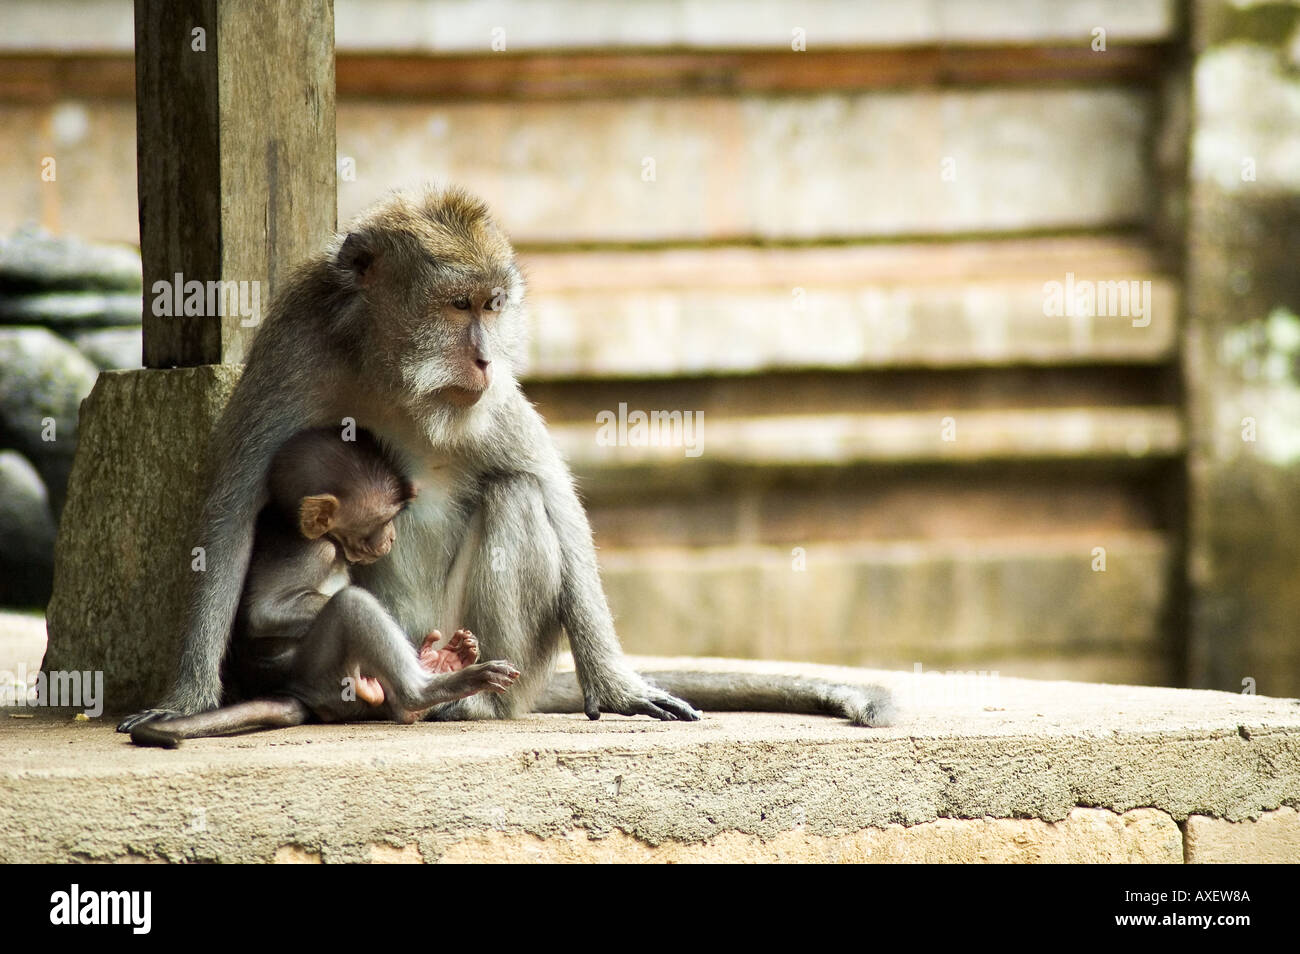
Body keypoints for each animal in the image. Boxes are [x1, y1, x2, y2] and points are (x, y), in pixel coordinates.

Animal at [129, 427, 519, 748]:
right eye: (383, 520)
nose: (392, 536)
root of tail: (298, 694)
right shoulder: (316, 551)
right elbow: (263, 613)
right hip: (324, 672)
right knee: (351, 606)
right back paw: (425, 690)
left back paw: (440, 662)